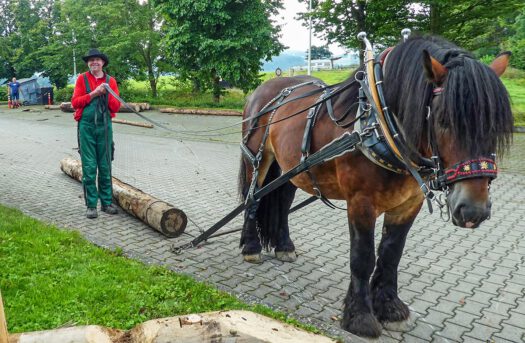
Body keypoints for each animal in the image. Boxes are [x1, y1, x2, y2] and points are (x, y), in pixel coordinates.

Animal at [236, 35, 512, 338]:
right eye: (444, 120)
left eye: (496, 126)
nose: (474, 211)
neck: (379, 123)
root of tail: (267, 87)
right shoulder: (361, 201)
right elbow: (363, 256)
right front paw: (359, 316)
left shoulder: (408, 203)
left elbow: (391, 253)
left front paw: (390, 308)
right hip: (257, 159)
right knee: (253, 199)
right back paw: (250, 247)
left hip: (292, 169)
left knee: (282, 200)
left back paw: (284, 245)